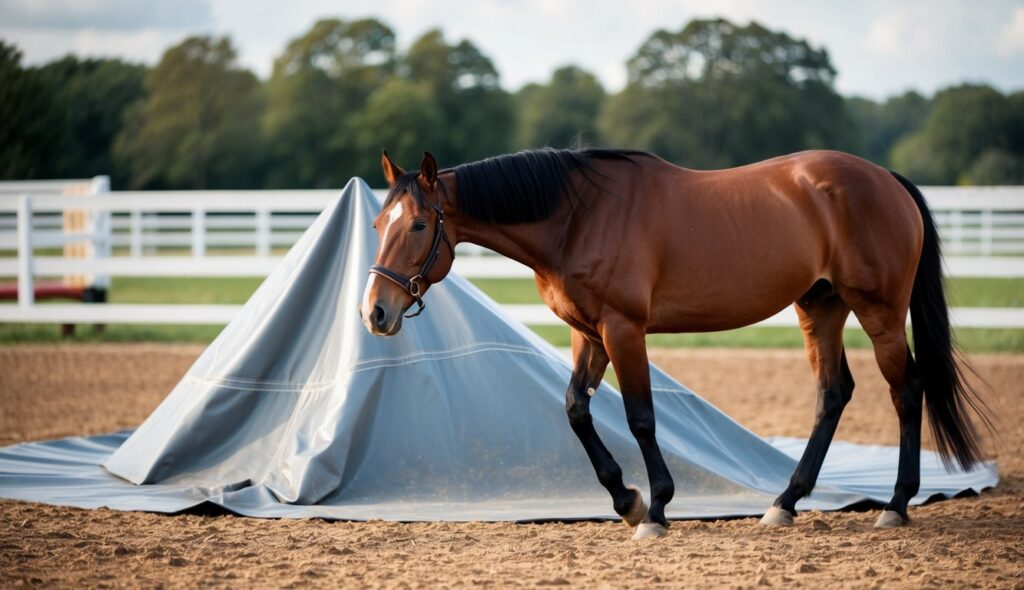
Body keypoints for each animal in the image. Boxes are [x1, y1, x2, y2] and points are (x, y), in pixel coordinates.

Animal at [362, 147, 991, 540]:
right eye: (376, 225)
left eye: (418, 225)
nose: (375, 311)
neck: (578, 216)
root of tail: (887, 179)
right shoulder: (587, 335)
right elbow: (575, 410)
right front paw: (627, 500)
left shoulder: (623, 330)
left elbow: (641, 417)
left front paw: (657, 508)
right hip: (821, 307)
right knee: (833, 394)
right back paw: (784, 503)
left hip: (879, 312)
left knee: (906, 392)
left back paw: (897, 505)